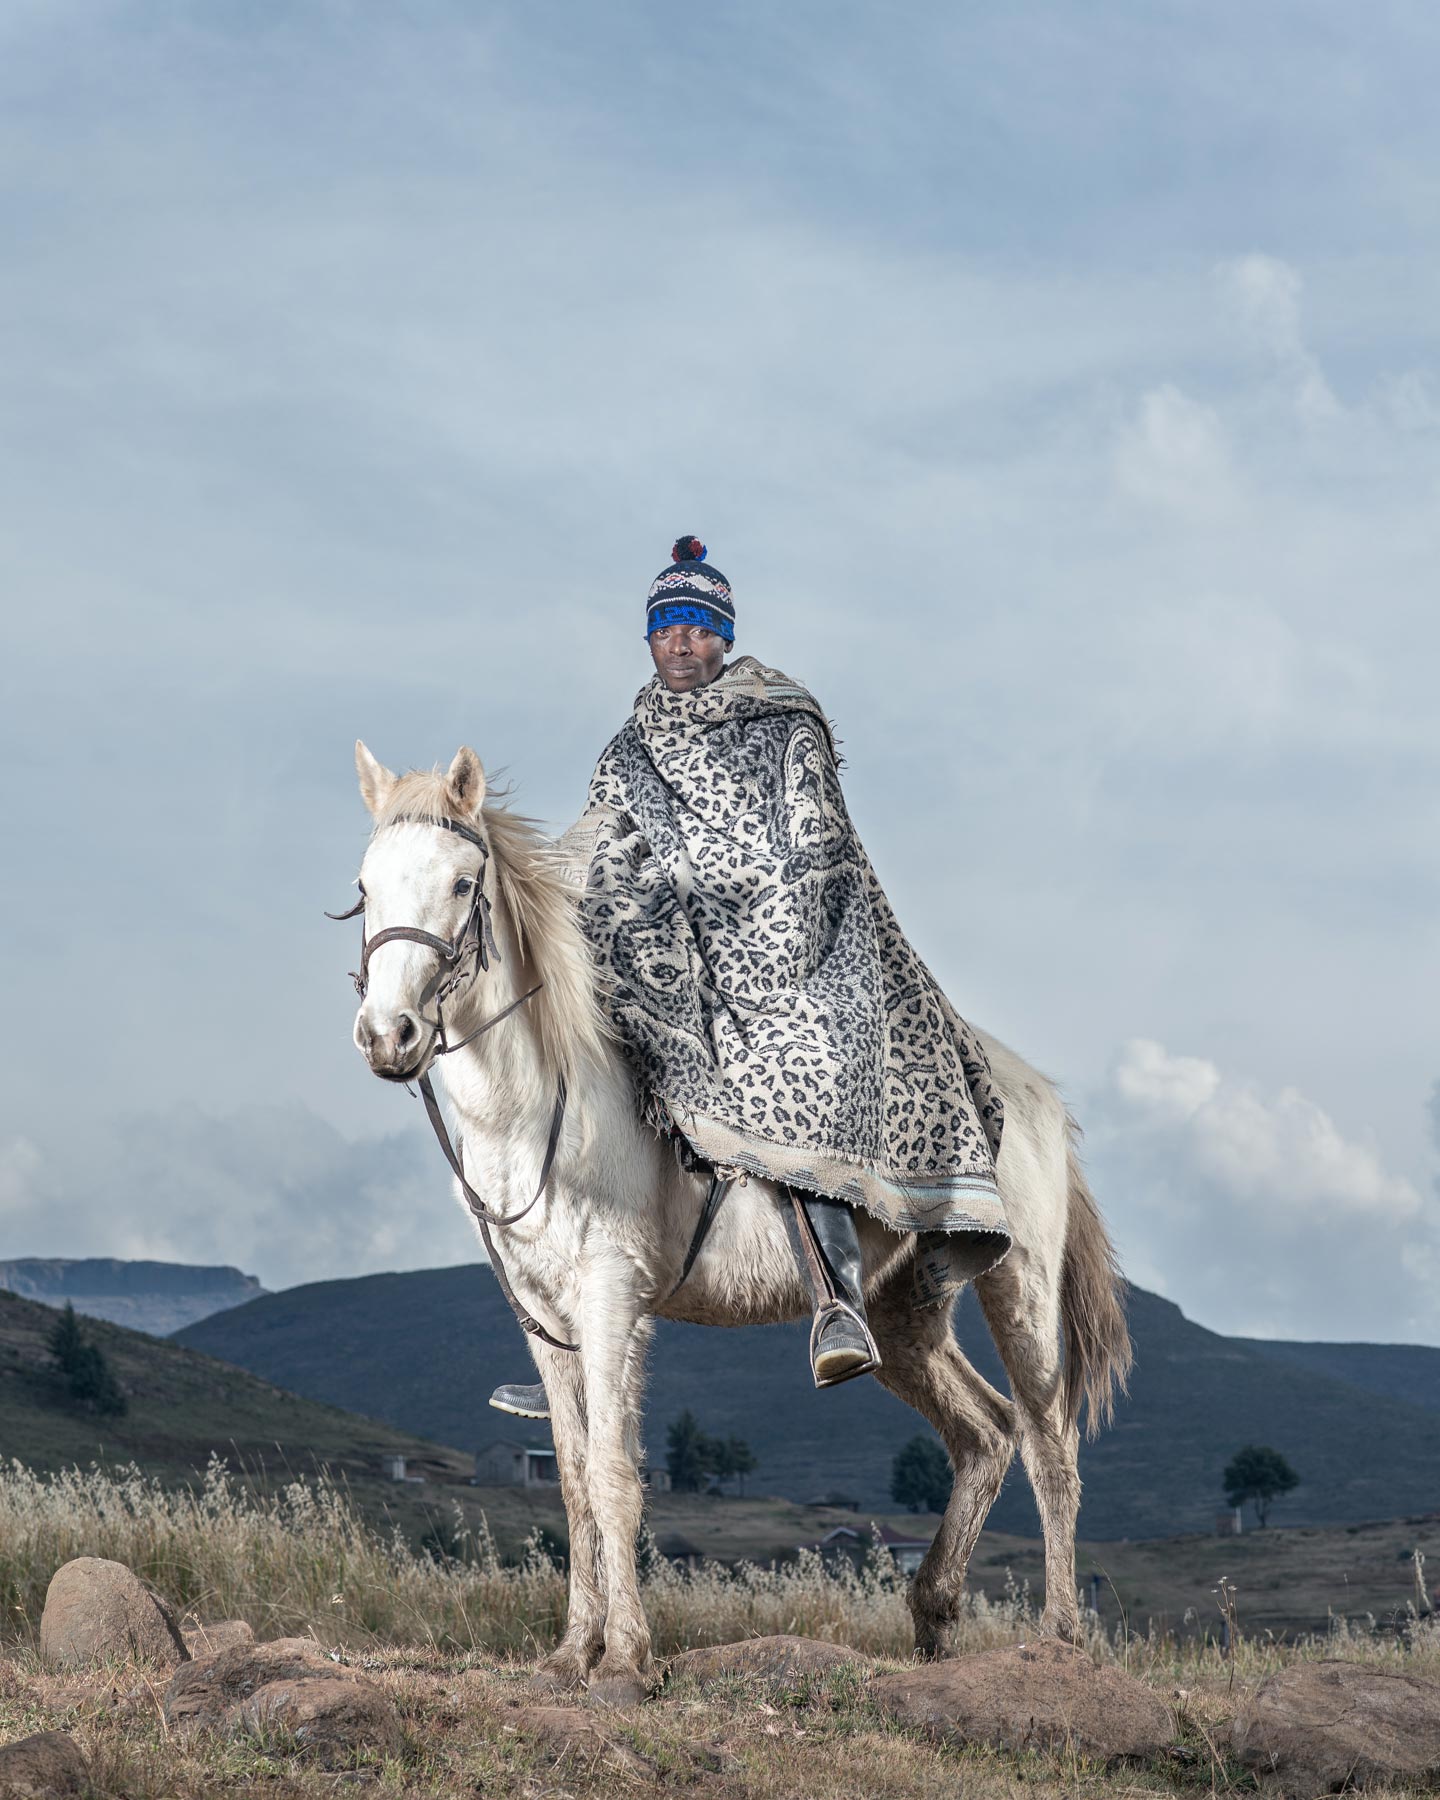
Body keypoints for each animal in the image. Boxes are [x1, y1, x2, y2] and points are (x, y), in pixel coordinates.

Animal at [351, 741, 1137, 1699]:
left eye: (463, 882)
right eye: (365, 885)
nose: (387, 1037)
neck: (533, 1110)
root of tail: (1034, 1091)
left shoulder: (611, 1299)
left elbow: (613, 1475)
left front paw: (625, 1660)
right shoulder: (542, 1315)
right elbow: (573, 1481)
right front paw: (570, 1653)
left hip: (1017, 1281)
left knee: (1049, 1446)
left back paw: (1058, 1639)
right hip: (904, 1308)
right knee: (985, 1432)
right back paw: (933, 1614)